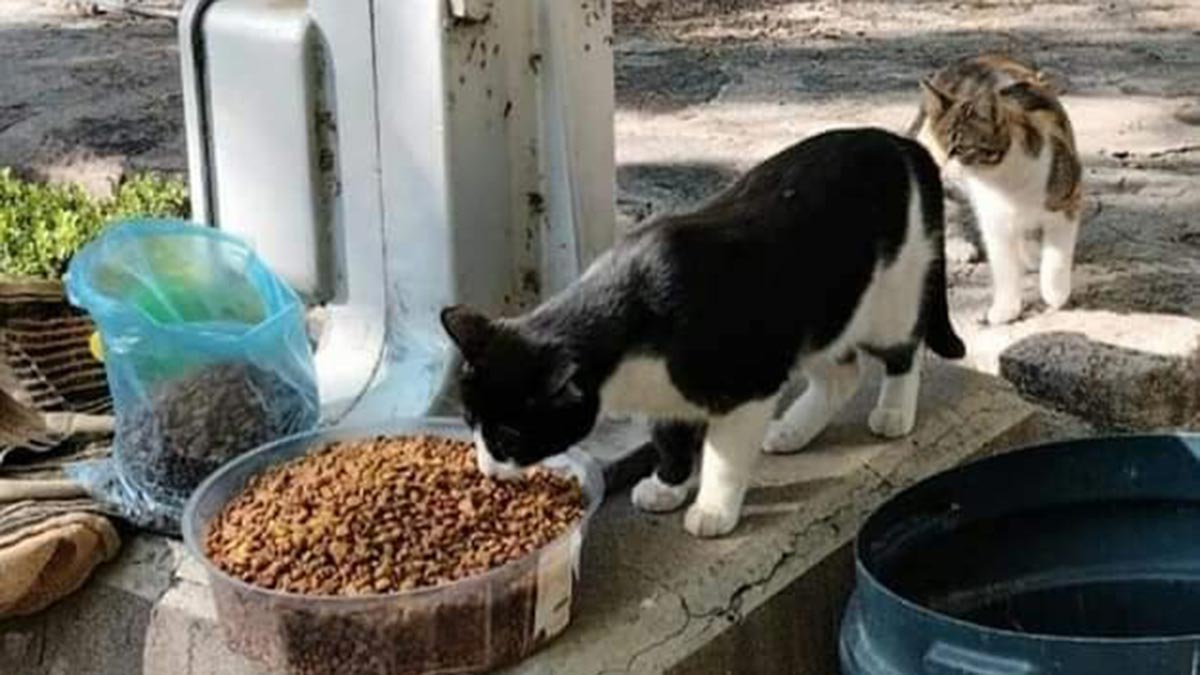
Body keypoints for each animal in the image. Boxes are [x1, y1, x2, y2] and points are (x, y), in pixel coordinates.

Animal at [441, 126, 964, 535]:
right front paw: (667, 485)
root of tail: (902, 144)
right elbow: (669, 438)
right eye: (469, 423)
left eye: (509, 437)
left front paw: (713, 509)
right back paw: (792, 430)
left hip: (890, 295)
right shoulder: (667, 395)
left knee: (904, 349)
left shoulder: (749, 384)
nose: (487, 469)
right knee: (843, 373)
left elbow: (724, 455)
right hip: (821, 319)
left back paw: (893, 412)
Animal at [912, 55, 1084, 324]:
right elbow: (1004, 266)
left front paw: (1055, 292)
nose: (940, 168)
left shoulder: (1068, 199)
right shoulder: (993, 219)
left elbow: (1057, 255)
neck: (1001, 178)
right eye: (936, 148)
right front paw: (1006, 308)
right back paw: (957, 245)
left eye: (960, 149)